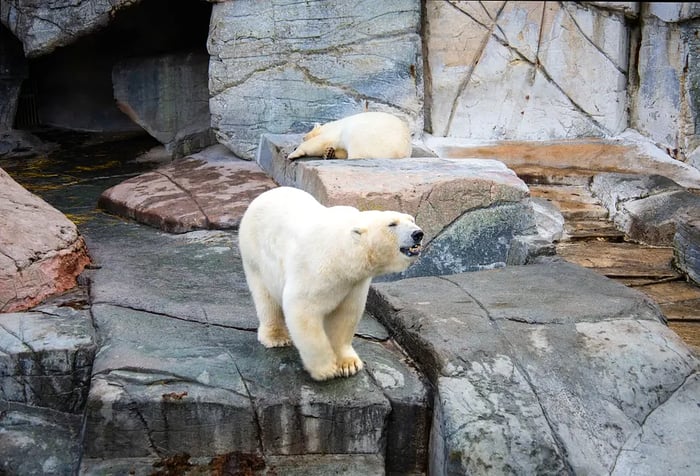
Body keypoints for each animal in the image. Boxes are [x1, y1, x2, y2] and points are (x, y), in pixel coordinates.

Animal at [238, 188, 424, 382]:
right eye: (392, 224)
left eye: (411, 220)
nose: (418, 233)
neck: (342, 255)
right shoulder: (314, 270)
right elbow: (303, 312)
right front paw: (326, 369)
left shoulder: (354, 284)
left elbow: (344, 317)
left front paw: (348, 365)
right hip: (255, 256)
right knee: (265, 297)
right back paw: (276, 337)